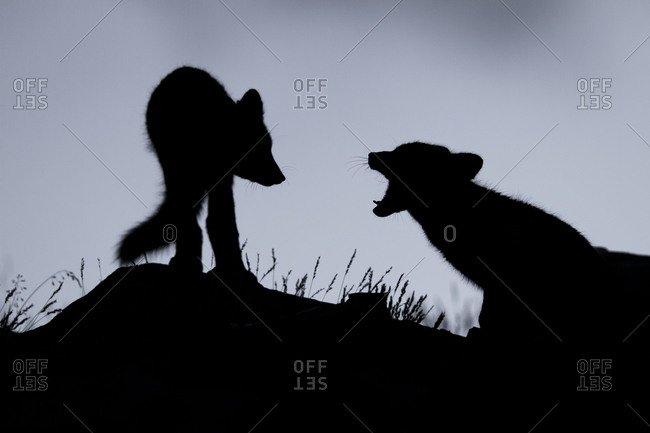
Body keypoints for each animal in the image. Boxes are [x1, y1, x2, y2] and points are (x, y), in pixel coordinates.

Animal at [117, 66, 285, 277]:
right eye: (256, 150)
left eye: (269, 148)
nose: (281, 177)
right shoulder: (179, 174)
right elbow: (187, 223)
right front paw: (187, 263)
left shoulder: (221, 178)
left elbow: (221, 223)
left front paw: (232, 269)